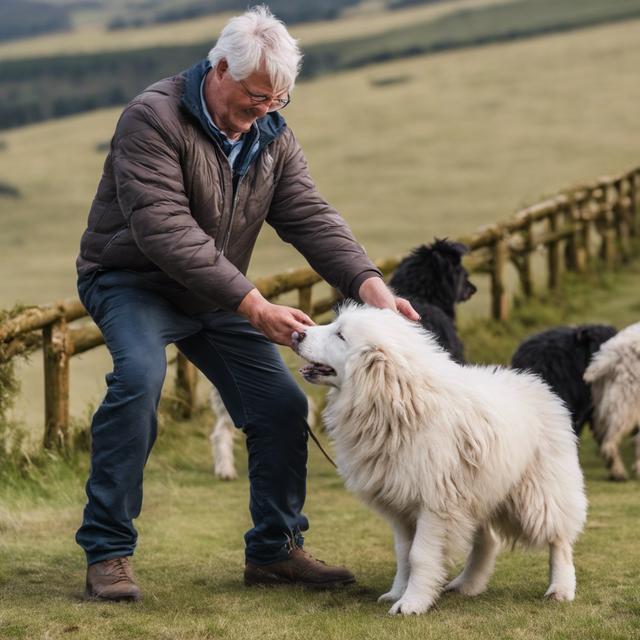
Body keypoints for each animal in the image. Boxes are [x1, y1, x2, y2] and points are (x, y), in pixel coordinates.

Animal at [292, 304, 588, 616]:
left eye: (340, 335)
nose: (297, 333)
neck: (402, 406)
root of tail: (539, 385)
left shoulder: (435, 504)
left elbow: (420, 555)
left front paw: (411, 602)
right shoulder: (402, 505)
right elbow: (403, 554)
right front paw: (398, 591)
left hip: (539, 492)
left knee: (559, 539)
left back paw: (561, 588)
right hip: (480, 492)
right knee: (488, 541)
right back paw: (468, 584)